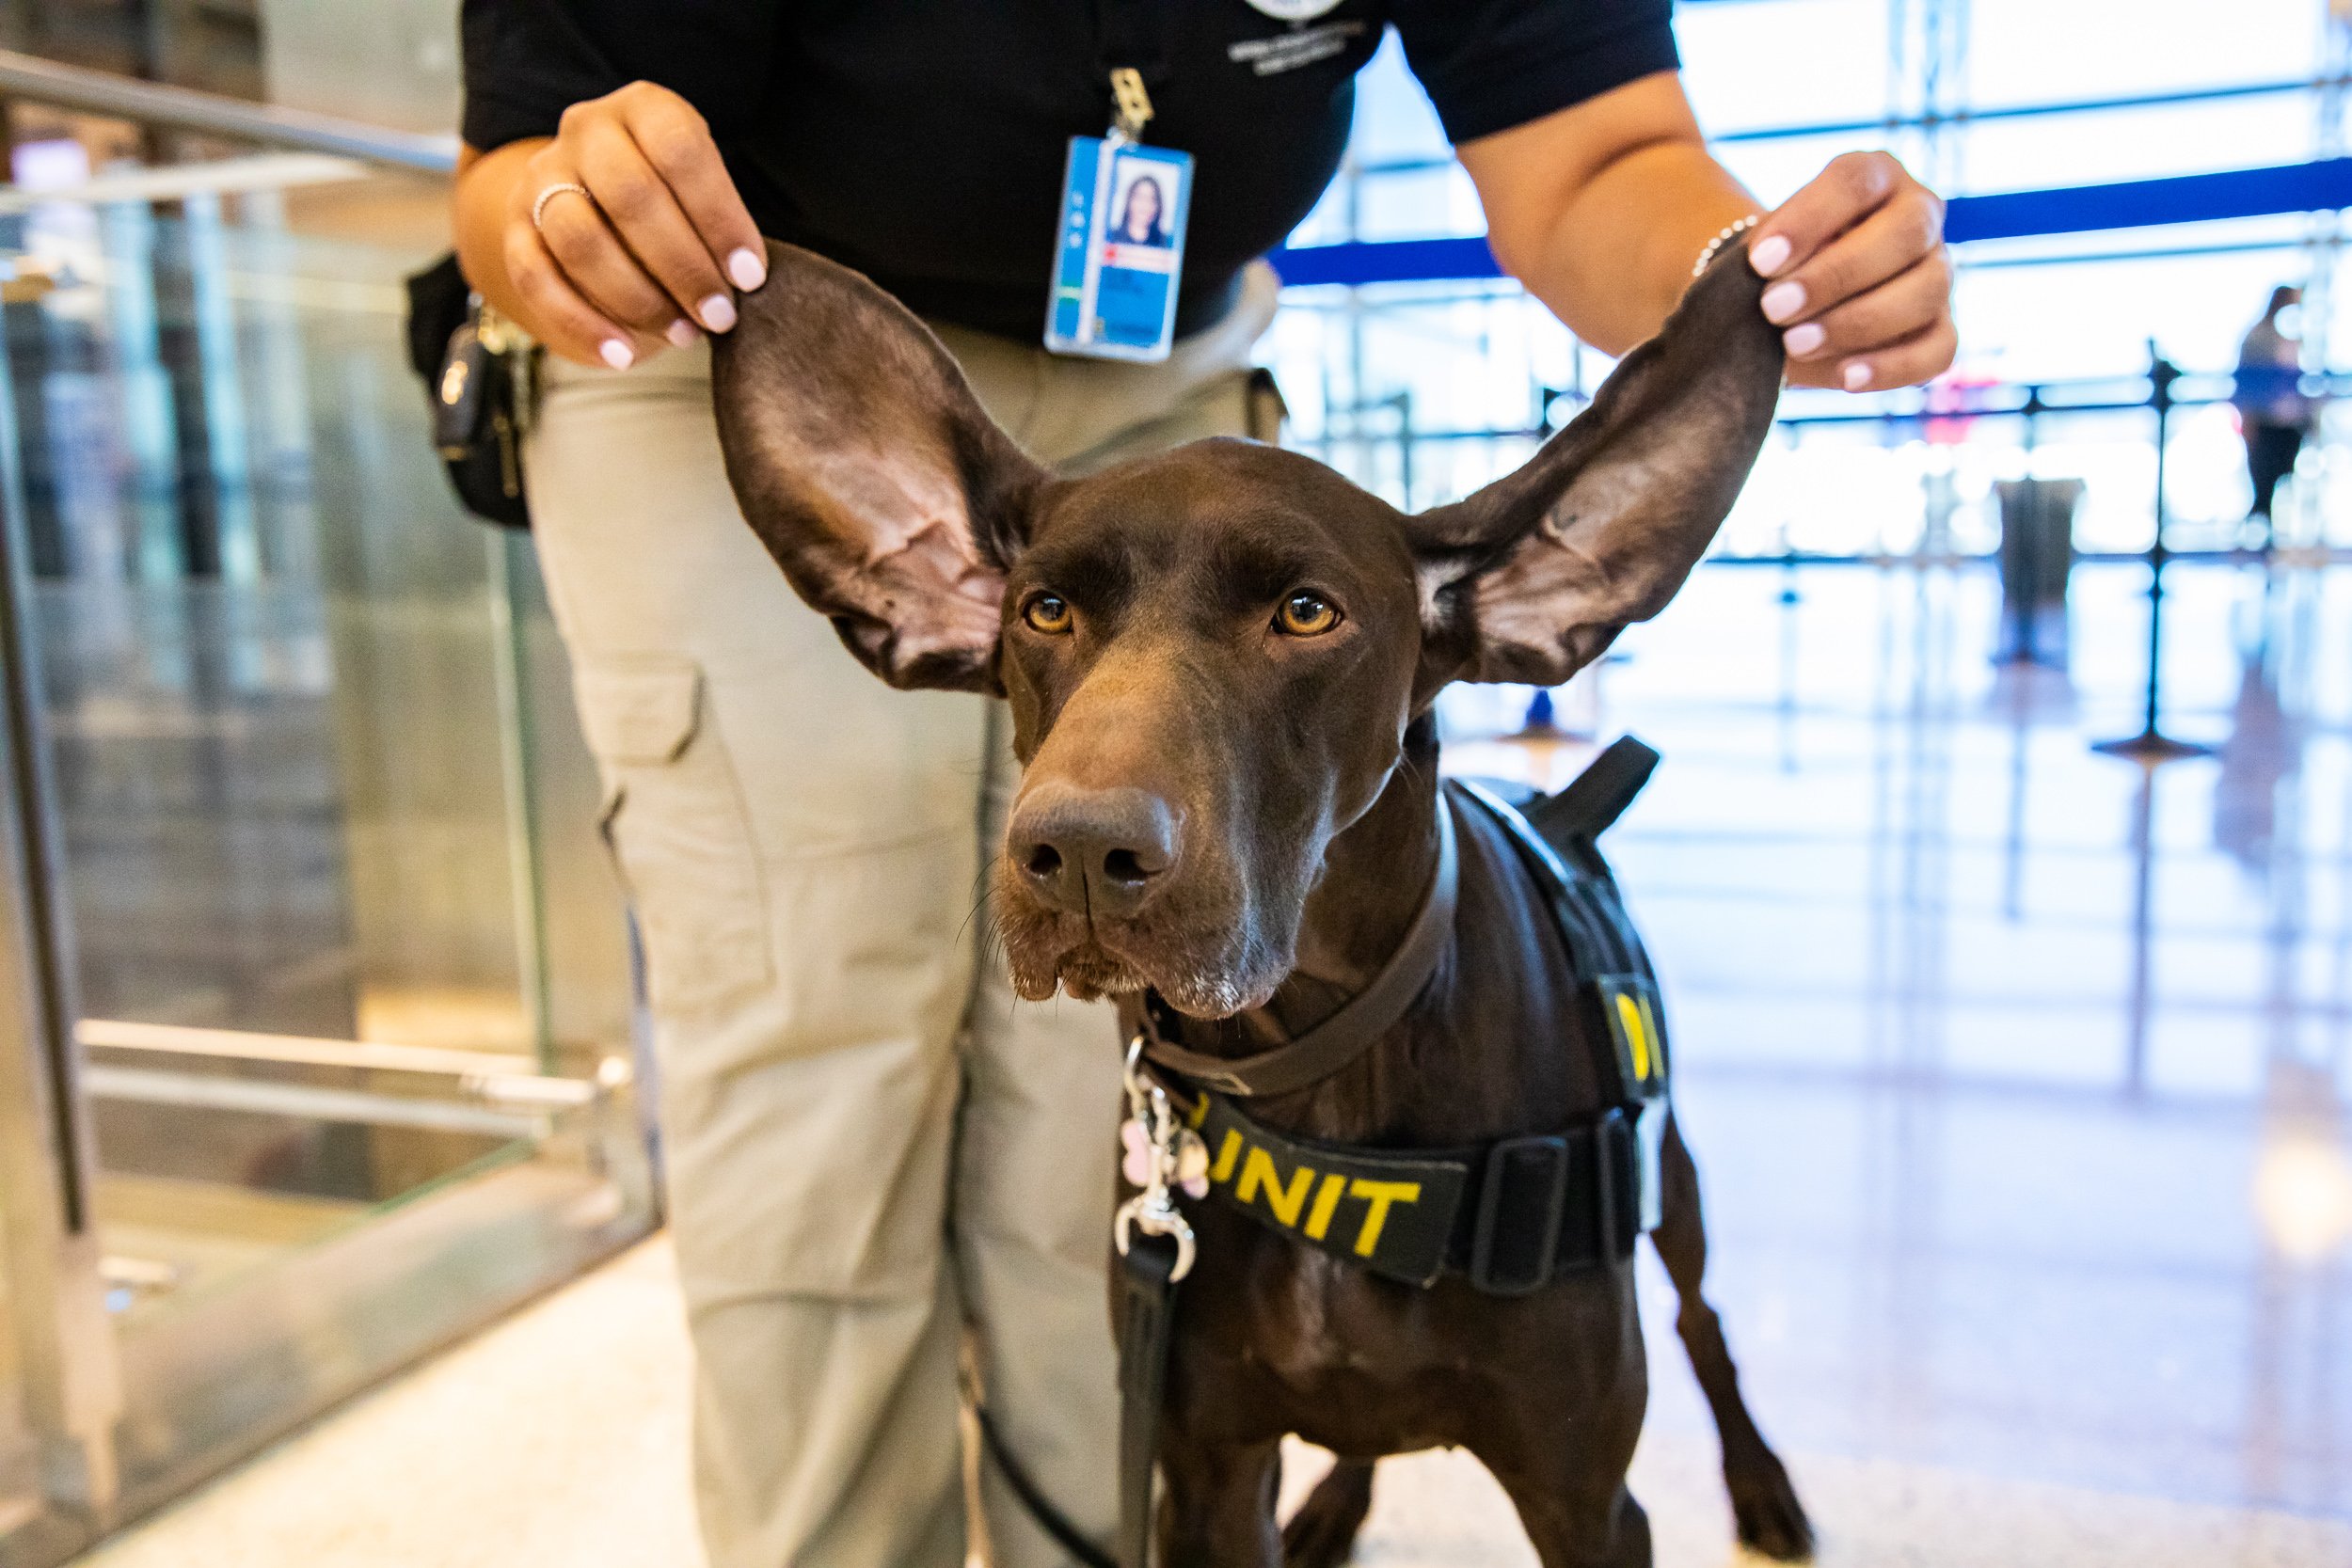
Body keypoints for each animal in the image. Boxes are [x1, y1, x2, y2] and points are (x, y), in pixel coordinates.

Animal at [706, 236, 1806, 1568]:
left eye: (1305, 611)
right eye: (1044, 609)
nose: (1078, 852)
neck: (1318, 1074)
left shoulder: (1583, 1499)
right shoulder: (1207, 1472)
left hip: (1676, 1189)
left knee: (1704, 1318)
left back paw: (1757, 1477)